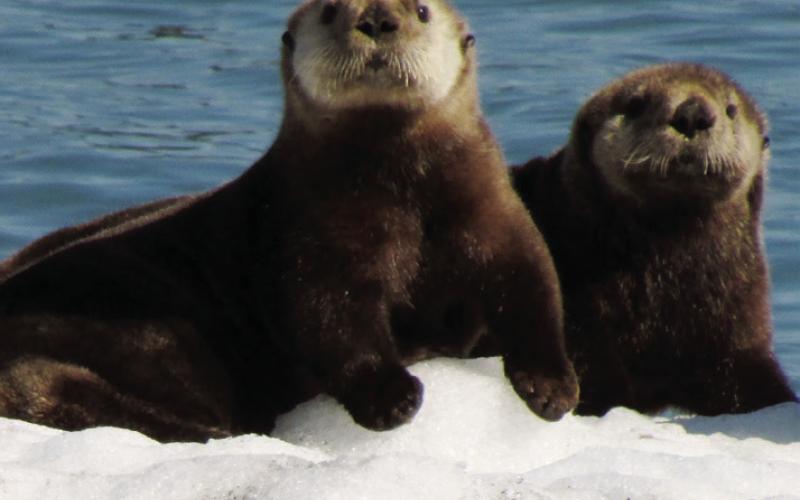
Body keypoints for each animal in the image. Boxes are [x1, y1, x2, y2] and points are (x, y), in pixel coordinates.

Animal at [0, 0, 577, 442]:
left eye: (421, 11)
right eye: (330, 11)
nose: (377, 19)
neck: (403, 202)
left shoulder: (491, 214)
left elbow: (531, 287)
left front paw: (553, 388)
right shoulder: (310, 236)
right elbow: (328, 318)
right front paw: (392, 398)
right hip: (150, 336)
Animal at [512, 63, 797, 416]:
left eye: (731, 110)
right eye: (636, 104)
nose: (693, 113)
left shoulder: (737, 315)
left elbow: (748, 376)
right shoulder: (579, 309)